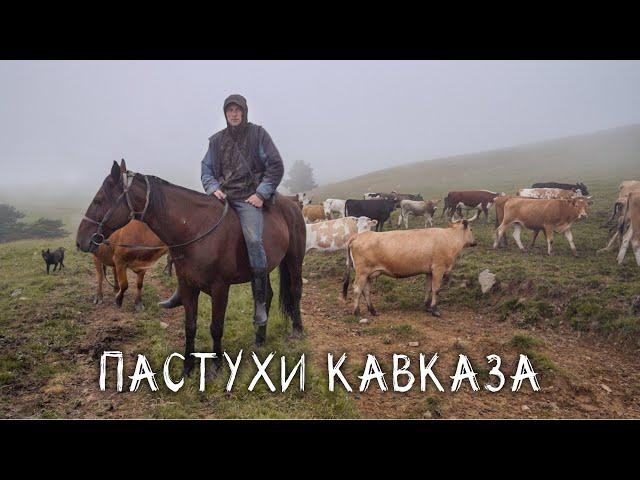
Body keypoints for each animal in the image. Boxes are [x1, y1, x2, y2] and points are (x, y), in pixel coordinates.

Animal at [77, 161, 308, 378]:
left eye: (98, 200)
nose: (81, 240)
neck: (195, 229)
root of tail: (293, 206)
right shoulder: (188, 287)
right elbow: (190, 326)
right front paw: (187, 367)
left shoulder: (220, 289)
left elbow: (216, 328)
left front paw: (216, 366)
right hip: (262, 268)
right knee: (265, 296)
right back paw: (259, 339)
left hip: (294, 260)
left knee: (295, 291)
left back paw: (297, 330)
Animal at [342, 211, 478, 316]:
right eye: (471, 229)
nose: (475, 242)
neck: (449, 238)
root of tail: (358, 236)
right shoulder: (438, 269)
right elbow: (436, 289)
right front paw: (434, 309)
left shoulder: (429, 271)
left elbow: (428, 288)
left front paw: (427, 306)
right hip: (362, 272)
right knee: (357, 289)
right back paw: (357, 312)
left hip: (370, 273)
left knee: (366, 290)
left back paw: (373, 311)